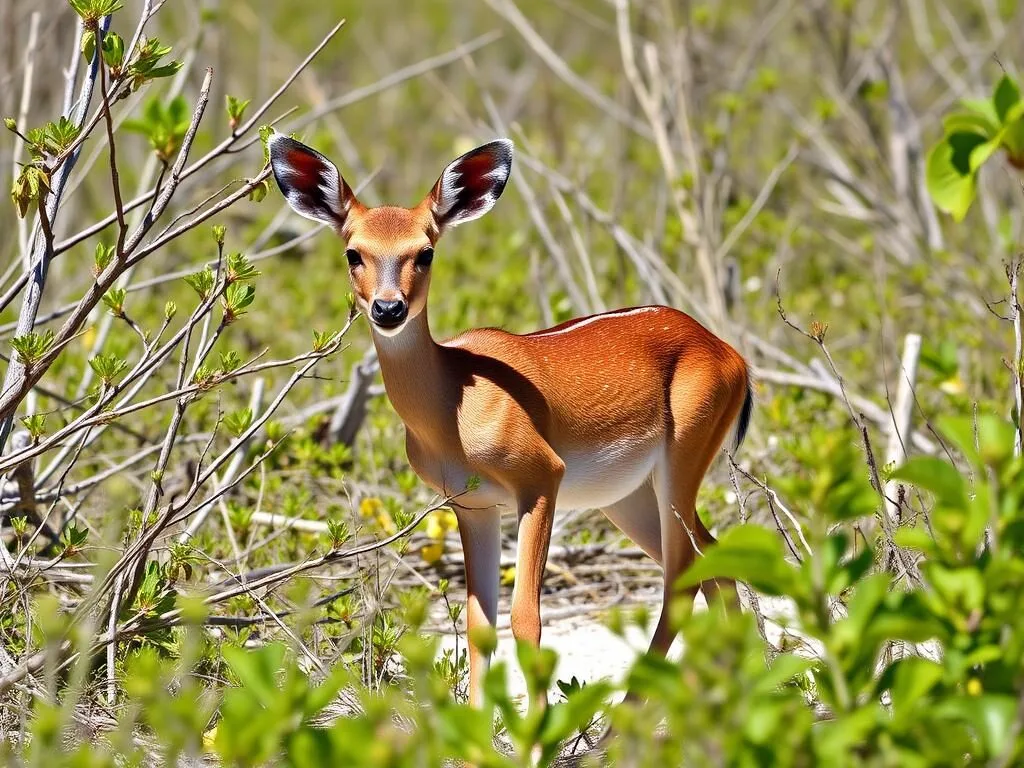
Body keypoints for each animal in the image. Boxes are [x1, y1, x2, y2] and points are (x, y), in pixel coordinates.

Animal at [267, 132, 753, 709]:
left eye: (425, 251)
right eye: (353, 252)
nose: (388, 309)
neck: (453, 405)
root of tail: (730, 354)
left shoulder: (541, 478)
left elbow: (526, 619)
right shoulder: (473, 505)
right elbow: (480, 624)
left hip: (679, 465)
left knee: (683, 580)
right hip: (628, 496)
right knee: (714, 562)